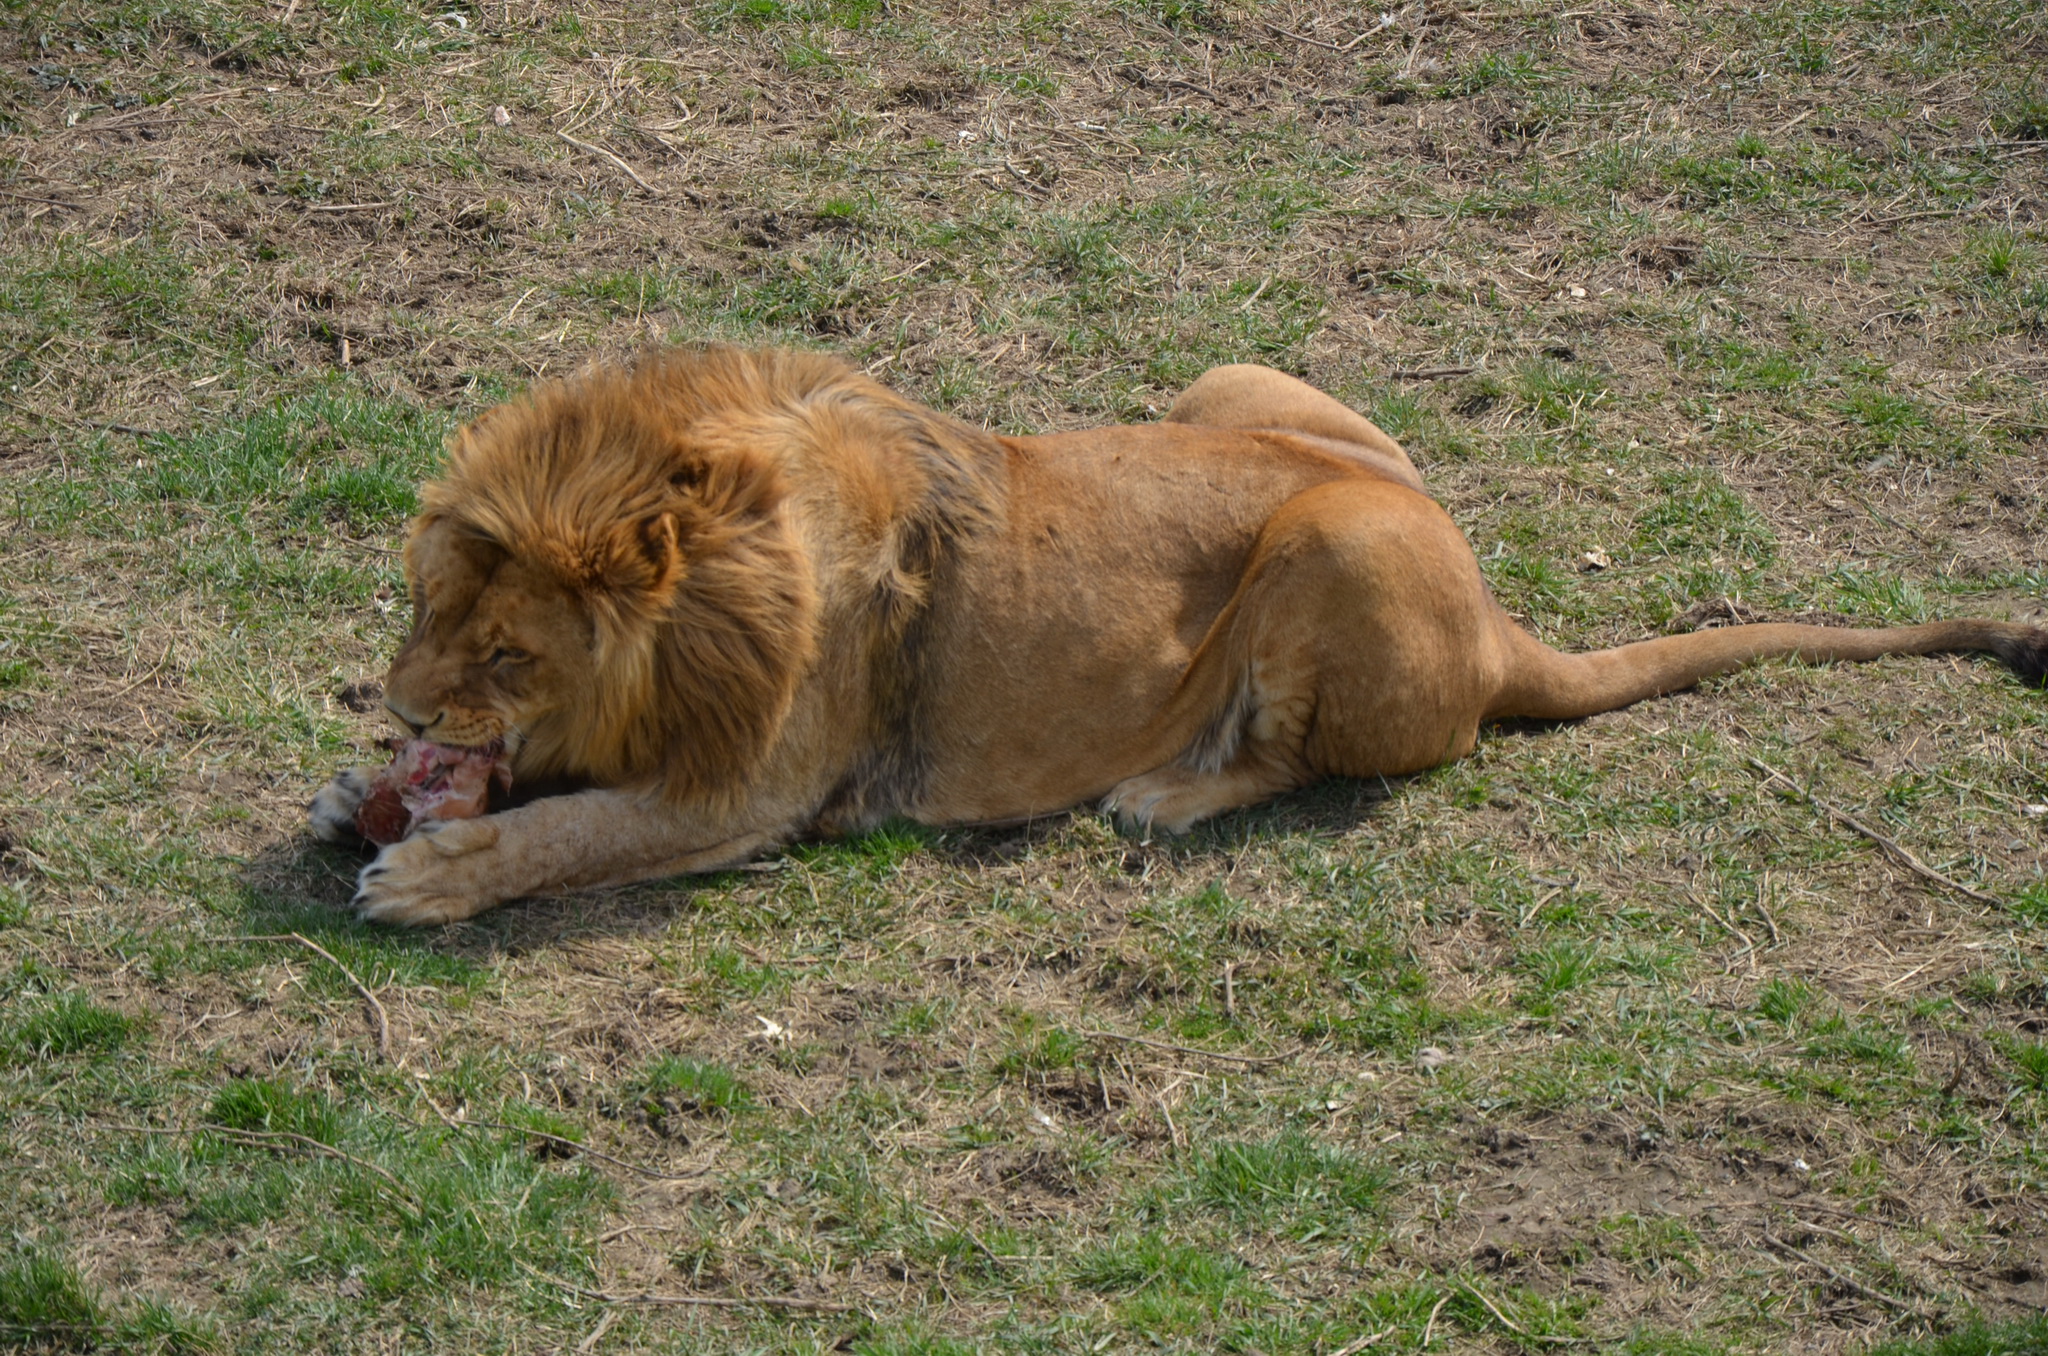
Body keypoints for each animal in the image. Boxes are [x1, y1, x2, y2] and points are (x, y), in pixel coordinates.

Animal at [307, 346, 2048, 929]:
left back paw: (1166, 795)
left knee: (1310, 763)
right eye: (421, 607)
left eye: (508, 655)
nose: (396, 704)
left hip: (1336, 540)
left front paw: (432, 871)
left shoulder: (754, 793)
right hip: (1243, 394)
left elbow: (575, 831)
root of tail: (1497, 616)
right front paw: (355, 799)